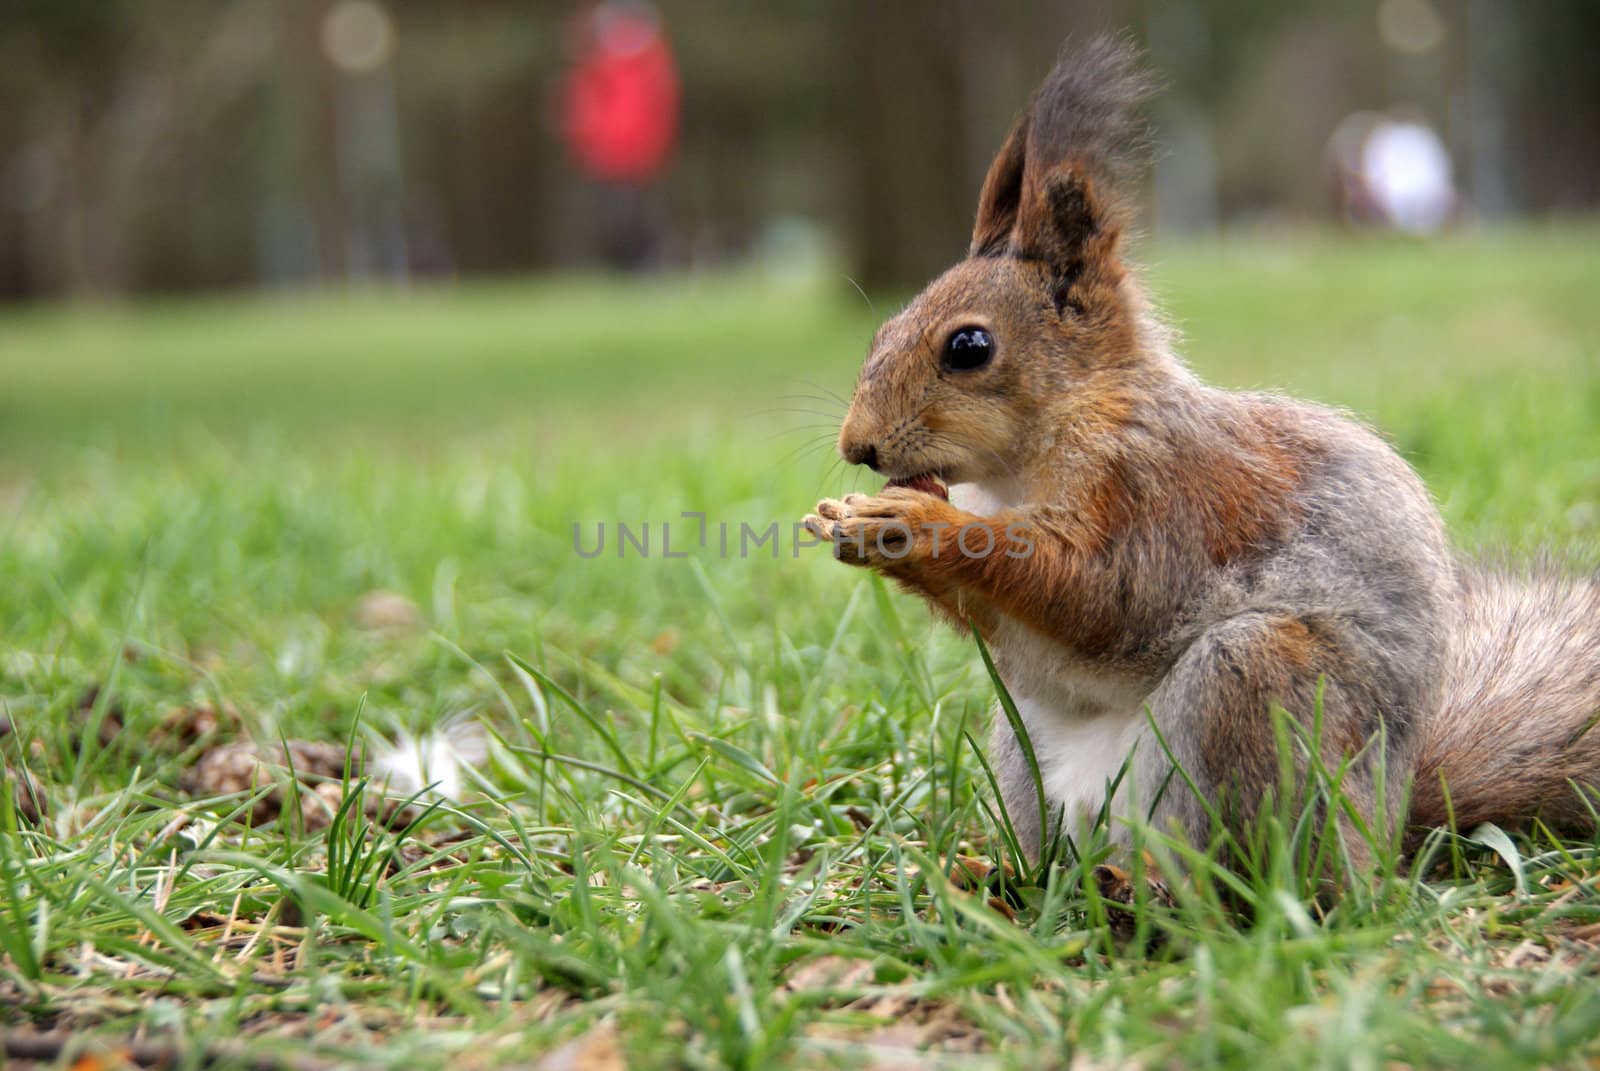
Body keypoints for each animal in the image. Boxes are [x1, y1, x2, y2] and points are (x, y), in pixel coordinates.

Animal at [806, 37, 1600, 870]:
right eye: (882, 328)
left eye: (968, 346)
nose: (857, 445)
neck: (1025, 457)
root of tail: (1381, 839)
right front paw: (852, 523)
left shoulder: (1158, 490)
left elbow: (1100, 591)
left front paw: (920, 528)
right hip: (1026, 751)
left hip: (1257, 687)